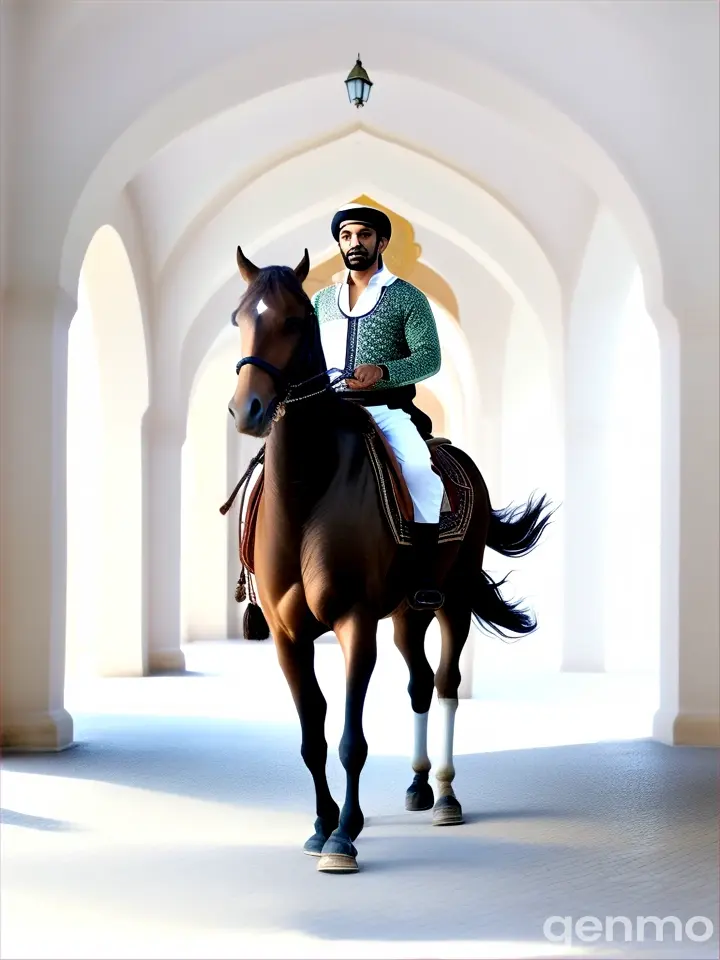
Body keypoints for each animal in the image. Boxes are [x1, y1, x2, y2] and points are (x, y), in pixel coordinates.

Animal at [228, 244, 556, 872]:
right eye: (239, 318)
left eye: (295, 320)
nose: (248, 409)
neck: (309, 491)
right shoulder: (287, 633)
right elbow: (313, 737)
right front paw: (322, 824)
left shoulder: (355, 622)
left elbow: (351, 739)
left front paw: (343, 838)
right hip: (408, 614)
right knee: (421, 684)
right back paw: (419, 786)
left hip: (452, 602)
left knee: (447, 684)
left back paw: (447, 794)